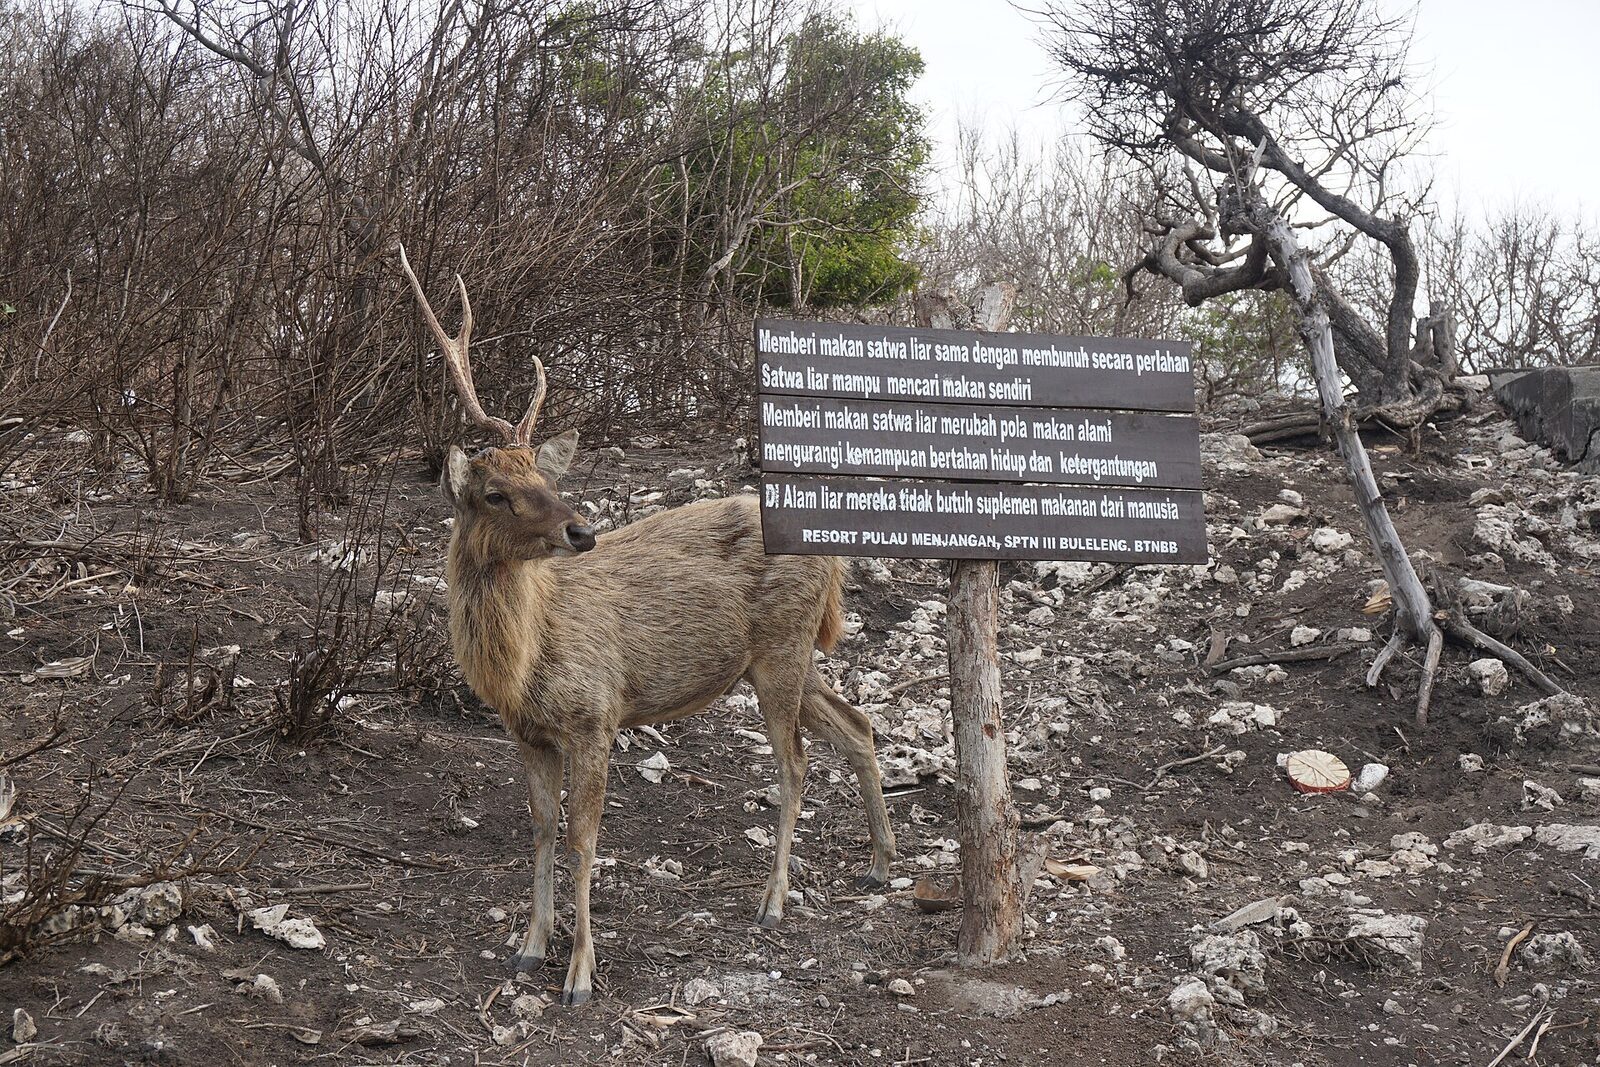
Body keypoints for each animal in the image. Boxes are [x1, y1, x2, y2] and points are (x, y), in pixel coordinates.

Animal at [396, 247, 896, 1006]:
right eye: (496, 492)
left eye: (546, 476)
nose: (581, 530)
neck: (523, 664)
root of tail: (835, 556)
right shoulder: (527, 732)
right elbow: (540, 830)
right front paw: (529, 945)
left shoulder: (595, 714)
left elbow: (583, 839)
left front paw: (579, 974)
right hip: (784, 655)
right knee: (857, 722)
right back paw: (880, 861)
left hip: (783, 647)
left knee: (796, 762)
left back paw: (774, 901)